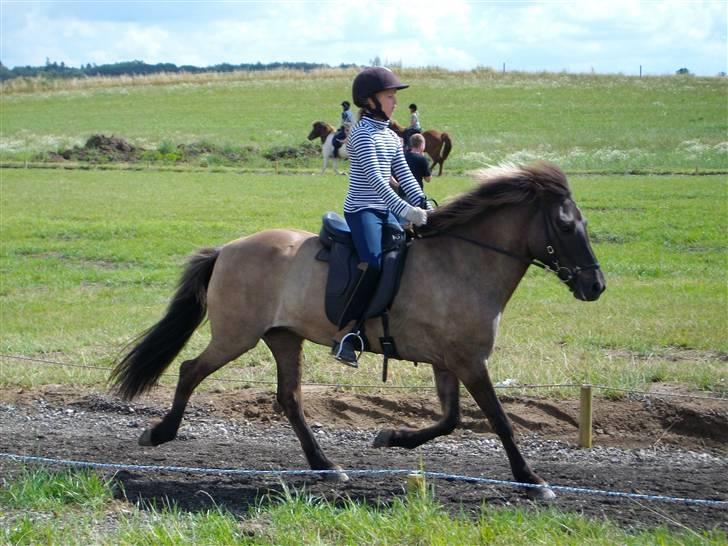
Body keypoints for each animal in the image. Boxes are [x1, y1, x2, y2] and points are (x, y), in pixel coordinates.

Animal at [112, 160, 604, 498]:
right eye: (565, 225)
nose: (595, 286)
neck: (463, 263)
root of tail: (228, 249)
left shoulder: (450, 361)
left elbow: (450, 419)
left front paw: (391, 437)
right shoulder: (470, 361)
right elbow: (499, 421)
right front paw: (532, 480)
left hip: (283, 337)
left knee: (289, 399)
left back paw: (325, 465)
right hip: (237, 335)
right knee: (191, 370)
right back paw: (159, 433)